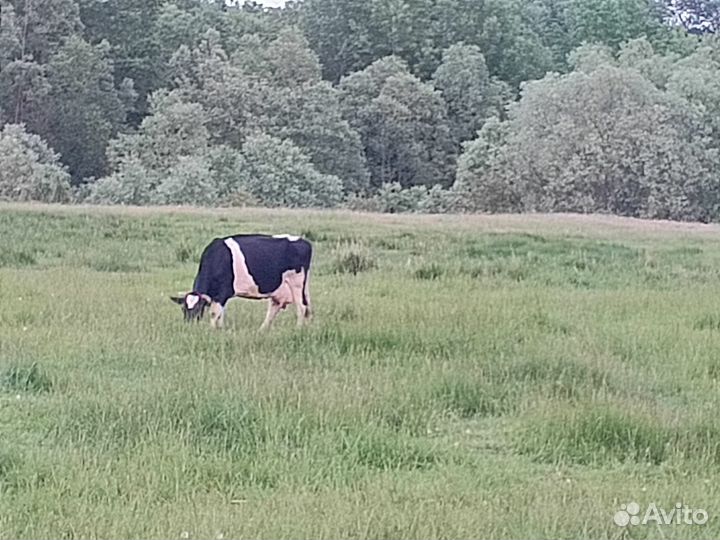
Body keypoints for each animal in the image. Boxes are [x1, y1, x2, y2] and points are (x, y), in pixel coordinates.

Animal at [170, 234, 312, 330]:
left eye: (199, 308)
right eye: (183, 308)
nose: (189, 325)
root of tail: (305, 242)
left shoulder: (222, 293)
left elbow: (214, 313)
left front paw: (212, 330)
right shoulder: (220, 297)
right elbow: (220, 314)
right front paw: (220, 329)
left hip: (296, 283)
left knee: (301, 307)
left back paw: (298, 329)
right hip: (288, 289)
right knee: (279, 307)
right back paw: (262, 330)